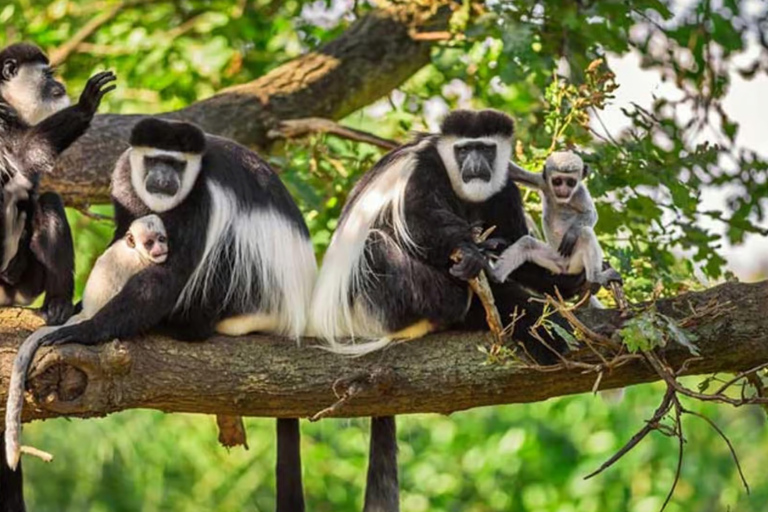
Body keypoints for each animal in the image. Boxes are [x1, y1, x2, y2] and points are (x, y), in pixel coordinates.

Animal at [4, 215, 168, 471]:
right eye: (150, 242)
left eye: (161, 239)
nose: (160, 249)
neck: (134, 251)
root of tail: (87, 313)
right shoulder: (138, 265)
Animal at [32, 118, 316, 512]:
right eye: (155, 161)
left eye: (177, 164)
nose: (164, 177)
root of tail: (294, 312)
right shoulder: (125, 177)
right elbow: (124, 234)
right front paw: (78, 308)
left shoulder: (201, 200)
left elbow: (171, 273)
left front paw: (88, 328)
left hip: (253, 291)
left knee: (223, 251)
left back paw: (185, 326)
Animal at [309, 109, 585, 511]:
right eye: (463, 150)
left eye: (486, 149)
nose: (474, 165)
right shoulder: (424, 171)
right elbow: (419, 220)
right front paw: (469, 252)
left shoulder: (504, 189)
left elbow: (515, 242)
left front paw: (564, 280)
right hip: (378, 301)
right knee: (378, 244)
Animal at [490, 151, 622, 296]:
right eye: (557, 181)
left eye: (570, 182)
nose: (563, 190)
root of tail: (565, 267)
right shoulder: (542, 181)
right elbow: (513, 171)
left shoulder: (580, 193)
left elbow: (591, 214)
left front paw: (571, 234)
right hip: (553, 259)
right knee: (526, 244)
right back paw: (494, 275)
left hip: (575, 261)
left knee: (585, 233)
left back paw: (595, 277)